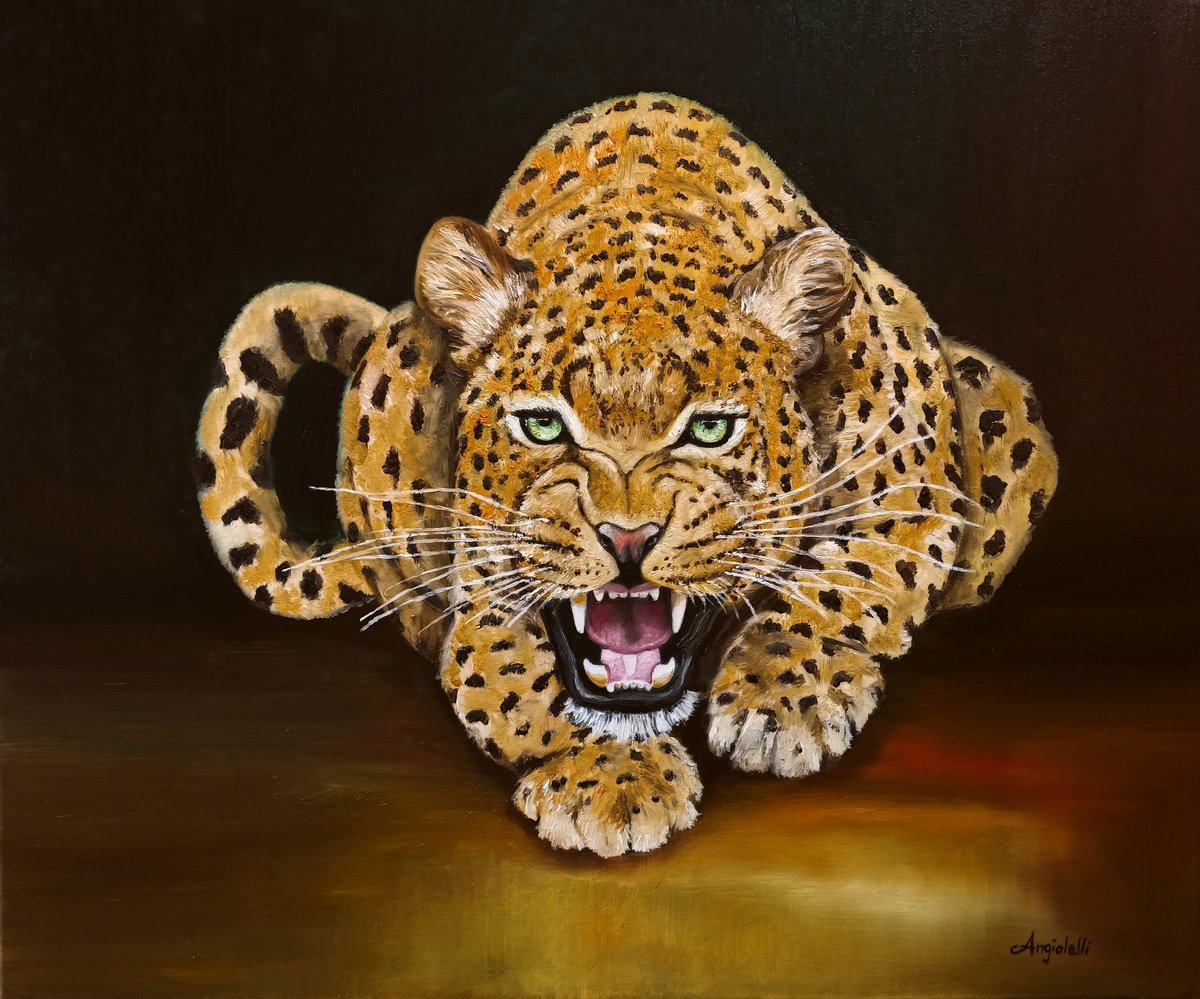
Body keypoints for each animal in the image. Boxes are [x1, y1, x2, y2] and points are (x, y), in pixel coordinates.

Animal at [195, 93, 1057, 857]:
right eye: (543, 425)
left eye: (709, 429)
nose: (628, 537)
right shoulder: (484, 592)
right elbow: (511, 681)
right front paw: (609, 780)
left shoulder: (910, 433)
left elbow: (861, 573)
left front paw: (780, 694)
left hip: (997, 398)